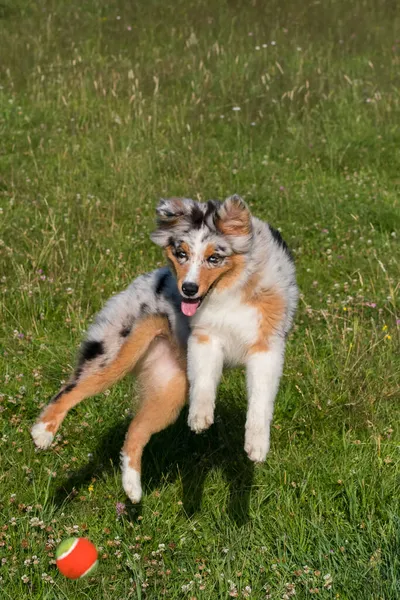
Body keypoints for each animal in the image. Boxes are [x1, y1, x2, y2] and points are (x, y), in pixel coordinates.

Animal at [31, 196, 296, 502]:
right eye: (181, 254)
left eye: (214, 258)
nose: (188, 289)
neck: (230, 289)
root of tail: (137, 283)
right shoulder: (205, 337)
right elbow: (204, 382)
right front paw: (200, 418)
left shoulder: (266, 347)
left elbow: (260, 400)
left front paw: (256, 446)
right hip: (117, 353)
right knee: (69, 390)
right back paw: (42, 434)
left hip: (169, 390)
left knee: (134, 433)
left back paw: (133, 489)